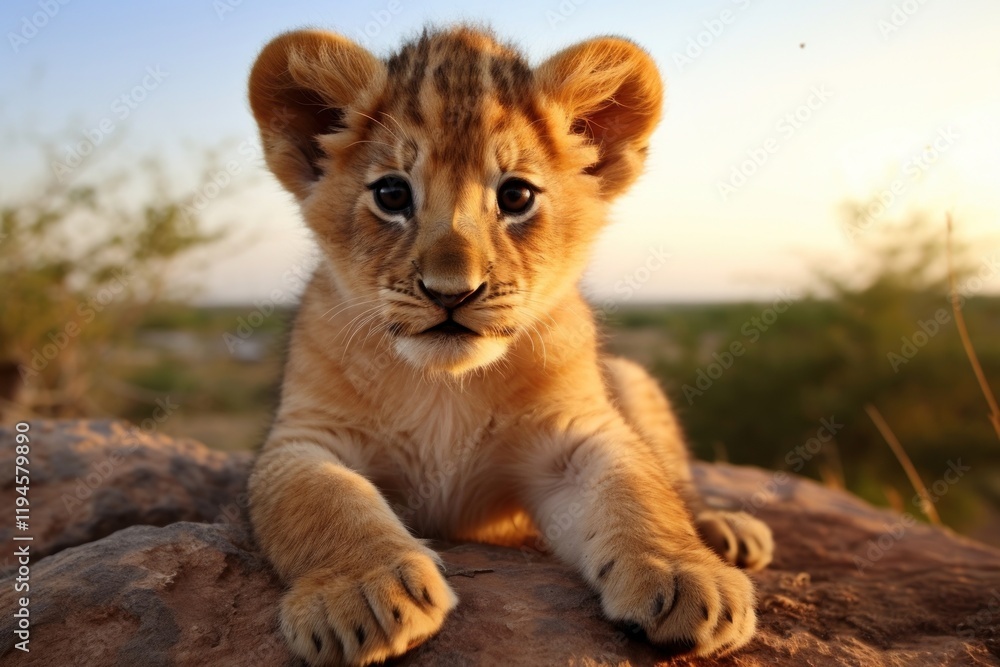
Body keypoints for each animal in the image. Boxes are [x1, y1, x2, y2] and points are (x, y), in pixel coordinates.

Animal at [246, 25, 774, 666]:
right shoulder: (303, 437)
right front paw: (362, 592)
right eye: (392, 194)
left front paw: (685, 575)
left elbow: (637, 490)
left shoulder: (576, 437)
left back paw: (726, 532)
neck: (444, 385)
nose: (451, 291)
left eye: (516, 196)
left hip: (631, 377)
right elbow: (325, 500)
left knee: (675, 477)